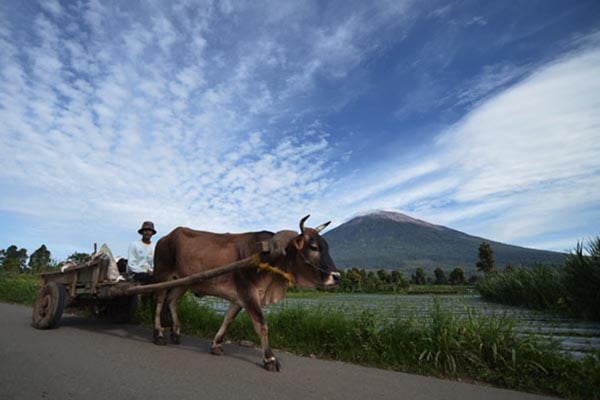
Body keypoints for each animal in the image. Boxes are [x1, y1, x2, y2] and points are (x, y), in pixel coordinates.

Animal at [151, 217, 338, 370]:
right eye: (313, 247)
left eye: (327, 247)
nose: (337, 276)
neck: (268, 258)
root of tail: (165, 237)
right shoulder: (249, 293)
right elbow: (261, 324)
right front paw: (270, 359)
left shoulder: (238, 298)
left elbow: (228, 320)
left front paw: (216, 345)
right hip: (163, 275)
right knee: (159, 302)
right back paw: (159, 335)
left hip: (183, 282)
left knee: (171, 300)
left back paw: (176, 333)